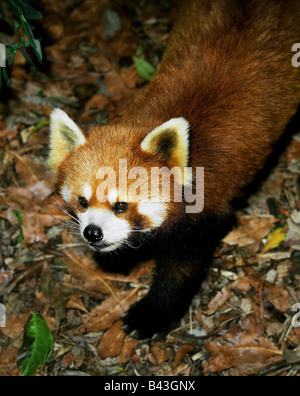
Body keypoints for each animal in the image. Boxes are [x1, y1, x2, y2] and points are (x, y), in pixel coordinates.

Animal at [48, 0, 300, 340]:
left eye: (121, 205)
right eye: (83, 201)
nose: (93, 233)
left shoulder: (207, 210)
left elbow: (182, 266)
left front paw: (152, 314)